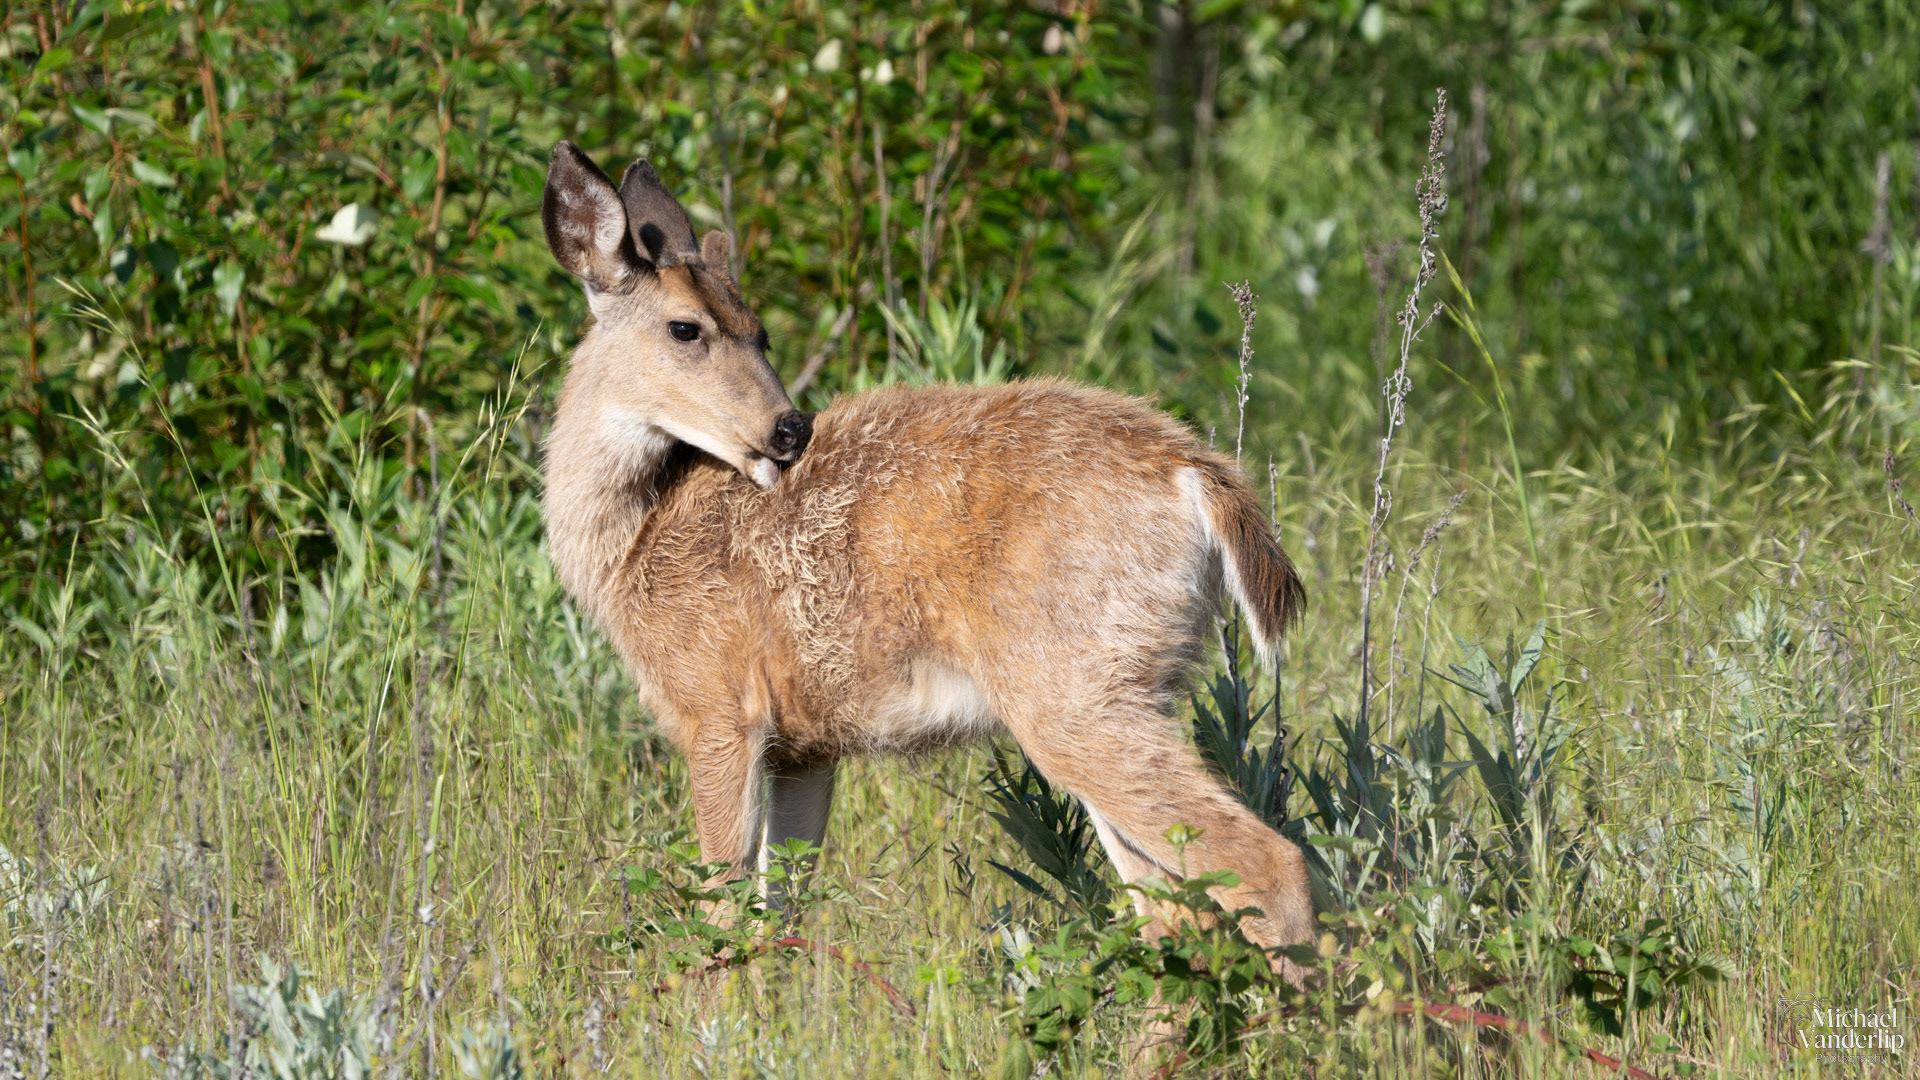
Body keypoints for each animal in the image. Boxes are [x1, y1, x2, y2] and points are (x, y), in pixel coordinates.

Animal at [538, 141, 1316, 981]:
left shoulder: (715, 706)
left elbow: (719, 919)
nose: (790, 427)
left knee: (1264, 861)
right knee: (1171, 909)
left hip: (1071, 689)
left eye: (760, 332)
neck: (632, 549)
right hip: (1136, 684)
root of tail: (1192, 470)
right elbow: (779, 914)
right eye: (686, 328)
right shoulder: (803, 746)